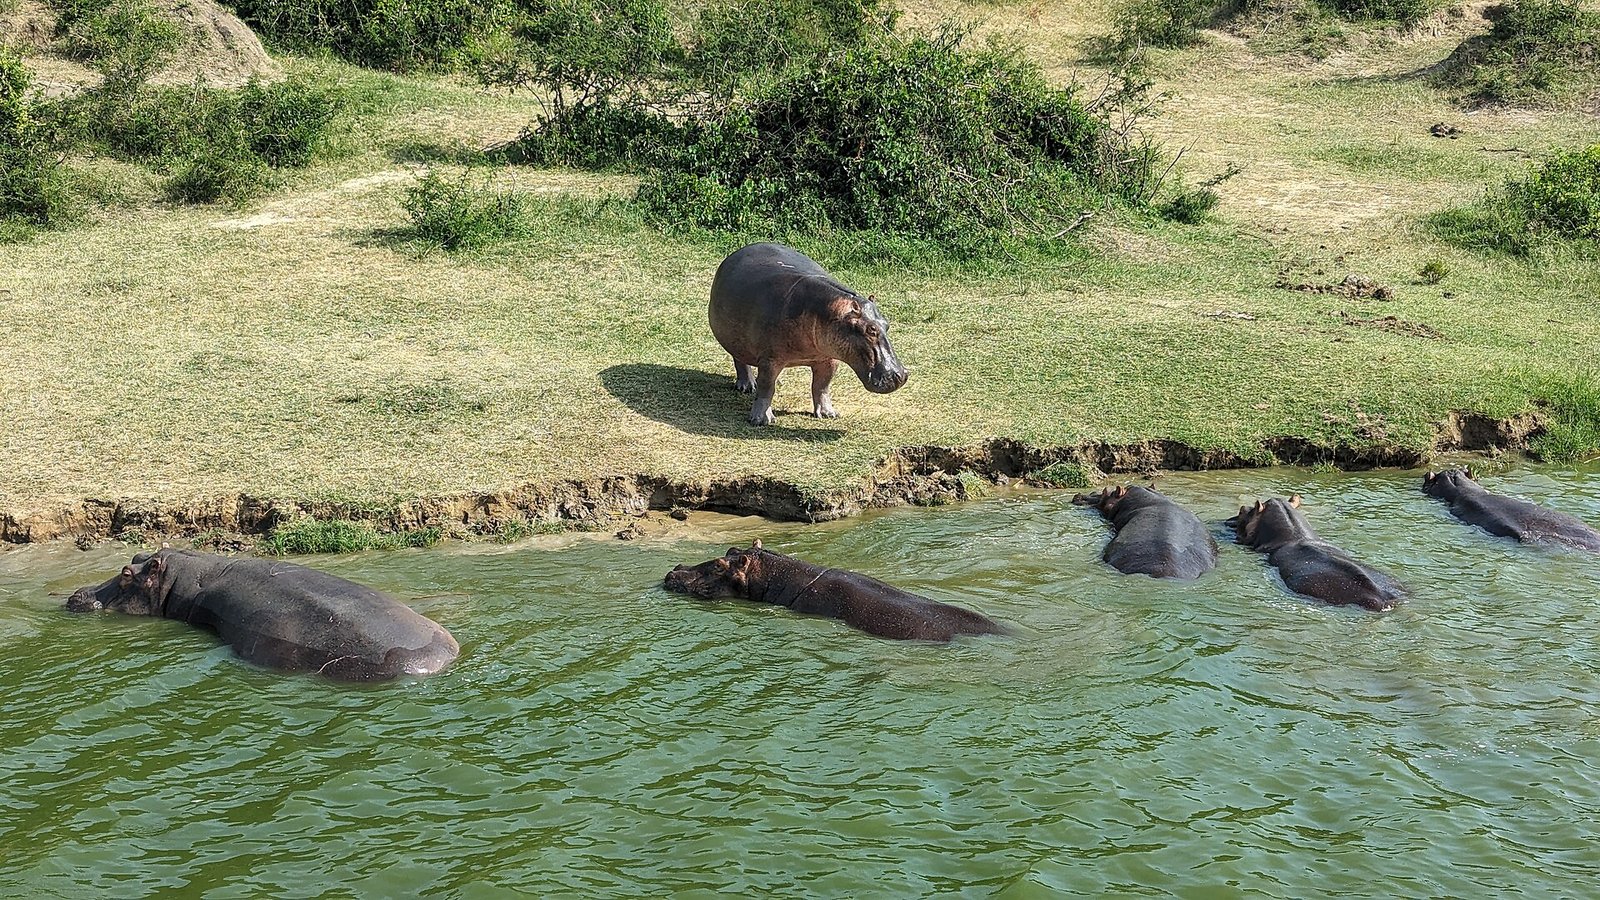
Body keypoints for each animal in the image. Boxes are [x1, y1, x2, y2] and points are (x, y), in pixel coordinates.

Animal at [709, 242, 908, 425]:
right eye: (870, 330)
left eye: (887, 325)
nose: (900, 375)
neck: (830, 311)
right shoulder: (769, 360)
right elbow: (766, 388)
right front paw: (762, 420)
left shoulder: (829, 358)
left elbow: (822, 385)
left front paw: (829, 414)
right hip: (734, 339)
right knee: (740, 359)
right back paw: (748, 386)